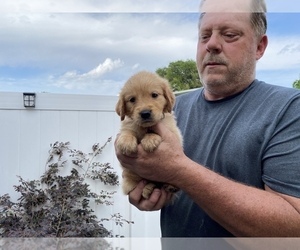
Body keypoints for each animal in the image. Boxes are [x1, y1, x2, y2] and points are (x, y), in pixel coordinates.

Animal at [115, 70, 183, 199]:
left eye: (154, 95)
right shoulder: (129, 124)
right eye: (132, 99)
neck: (145, 128)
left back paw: (166, 187)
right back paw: (147, 188)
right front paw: (126, 142)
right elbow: (127, 131)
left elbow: (156, 132)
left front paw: (150, 140)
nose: (145, 113)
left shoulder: (173, 132)